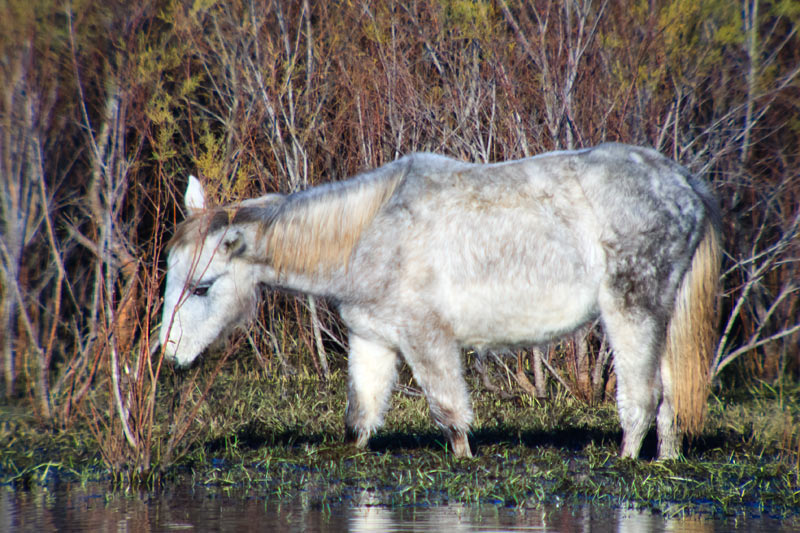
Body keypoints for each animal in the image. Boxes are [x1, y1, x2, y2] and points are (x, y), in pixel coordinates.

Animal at [159, 143, 720, 460]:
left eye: (202, 287)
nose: (166, 356)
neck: (369, 231)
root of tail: (685, 185)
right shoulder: (373, 338)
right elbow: (362, 415)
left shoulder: (425, 337)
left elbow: (450, 412)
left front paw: (464, 460)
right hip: (663, 317)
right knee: (670, 398)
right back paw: (665, 462)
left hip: (632, 309)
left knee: (641, 398)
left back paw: (624, 462)